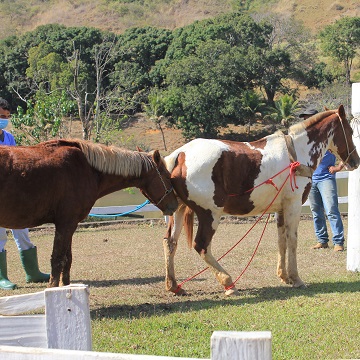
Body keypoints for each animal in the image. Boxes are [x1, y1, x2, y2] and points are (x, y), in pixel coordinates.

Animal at [0, 138, 179, 286]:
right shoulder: (65, 224)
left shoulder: (70, 225)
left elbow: (67, 260)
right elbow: (57, 260)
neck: (86, 168)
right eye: (166, 175)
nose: (175, 205)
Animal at [164, 104, 360, 296]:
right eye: (350, 131)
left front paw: (284, 276)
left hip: (179, 211)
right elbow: (292, 239)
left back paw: (173, 285)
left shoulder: (280, 209)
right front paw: (296, 278)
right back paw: (228, 282)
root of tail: (180, 154)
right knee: (201, 246)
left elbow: (282, 240)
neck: (297, 152)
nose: (355, 161)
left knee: (170, 242)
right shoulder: (293, 204)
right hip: (210, 214)